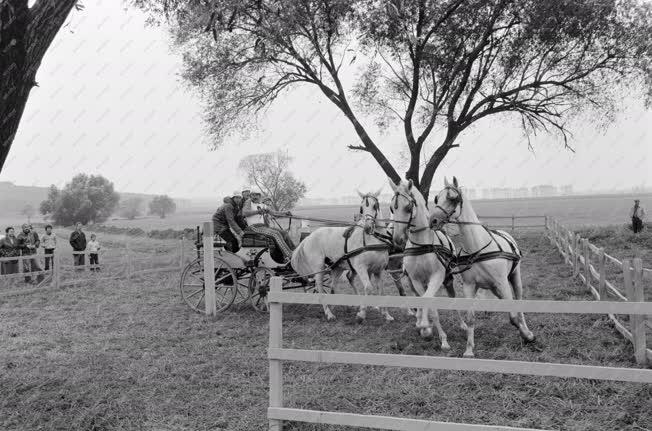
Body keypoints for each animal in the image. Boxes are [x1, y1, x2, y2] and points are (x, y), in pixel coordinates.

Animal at [292, 191, 394, 322]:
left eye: (375, 206)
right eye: (361, 208)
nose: (367, 227)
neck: (372, 240)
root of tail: (308, 237)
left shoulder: (378, 270)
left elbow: (381, 290)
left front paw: (386, 314)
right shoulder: (361, 268)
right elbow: (368, 288)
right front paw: (361, 314)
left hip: (337, 267)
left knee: (333, 287)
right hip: (319, 268)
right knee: (319, 287)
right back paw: (329, 313)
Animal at [388, 179, 458, 352]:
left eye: (408, 207)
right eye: (392, 208)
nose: (398, 239)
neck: (421, 245)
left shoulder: (437, 277)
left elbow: (428, 300)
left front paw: (437, 336)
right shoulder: (417, 281)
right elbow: (427, 304)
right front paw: (425, 329)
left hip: (447, 280)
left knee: (452, 297)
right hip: (411, 281)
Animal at [428, 177, 536, 360]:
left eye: (453, 198)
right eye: (437, 198)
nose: (432, 221)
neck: (477, 249)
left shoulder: (502, 283)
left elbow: (513, 316)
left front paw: (527, 336)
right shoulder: (470, 286)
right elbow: (471, 318)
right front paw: (469, 349)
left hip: (514, 278)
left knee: (519, 303)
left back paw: (526, 330)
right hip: (494, 287)